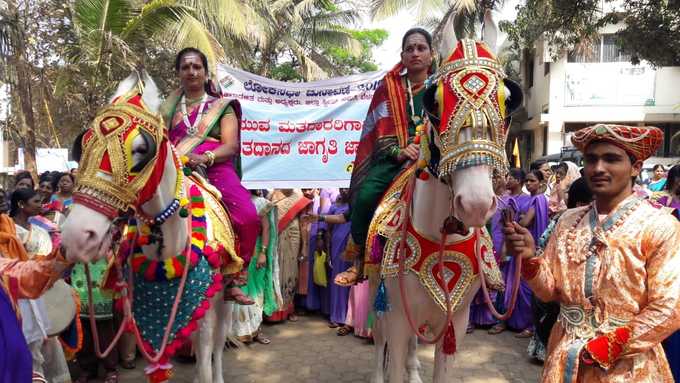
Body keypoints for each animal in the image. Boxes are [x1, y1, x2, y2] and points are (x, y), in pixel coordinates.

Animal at [61, 75, 236, 383]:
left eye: (142, 149)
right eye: (84, 146)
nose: (77, 237)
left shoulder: (202, 309)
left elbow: (205, 358)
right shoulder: (150, 319)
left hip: (225, 297)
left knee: (217, 344)